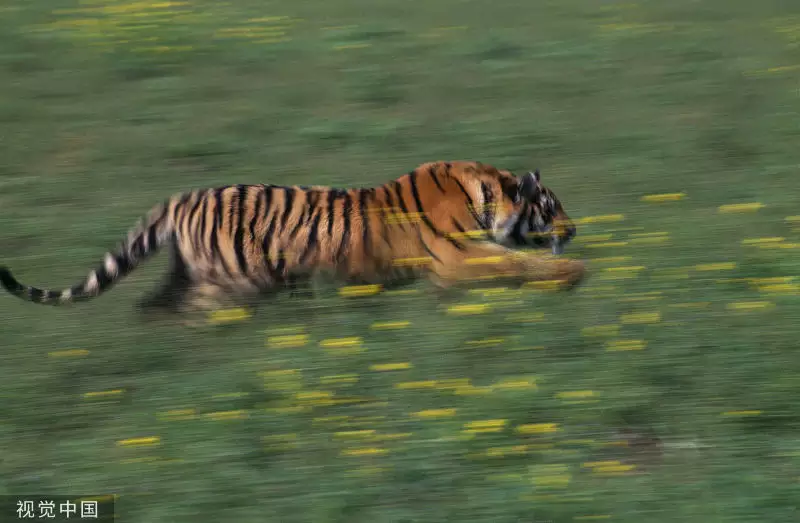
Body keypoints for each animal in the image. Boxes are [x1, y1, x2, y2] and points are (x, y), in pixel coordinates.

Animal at [1, 160, 588, 316]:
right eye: (552, 206)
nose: (575, 229)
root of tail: (180, 200)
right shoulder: (461, 257)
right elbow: (518, 264)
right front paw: (573, 274)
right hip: (231, 282)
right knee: (195, 317)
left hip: (194, 273)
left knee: (153, 309)